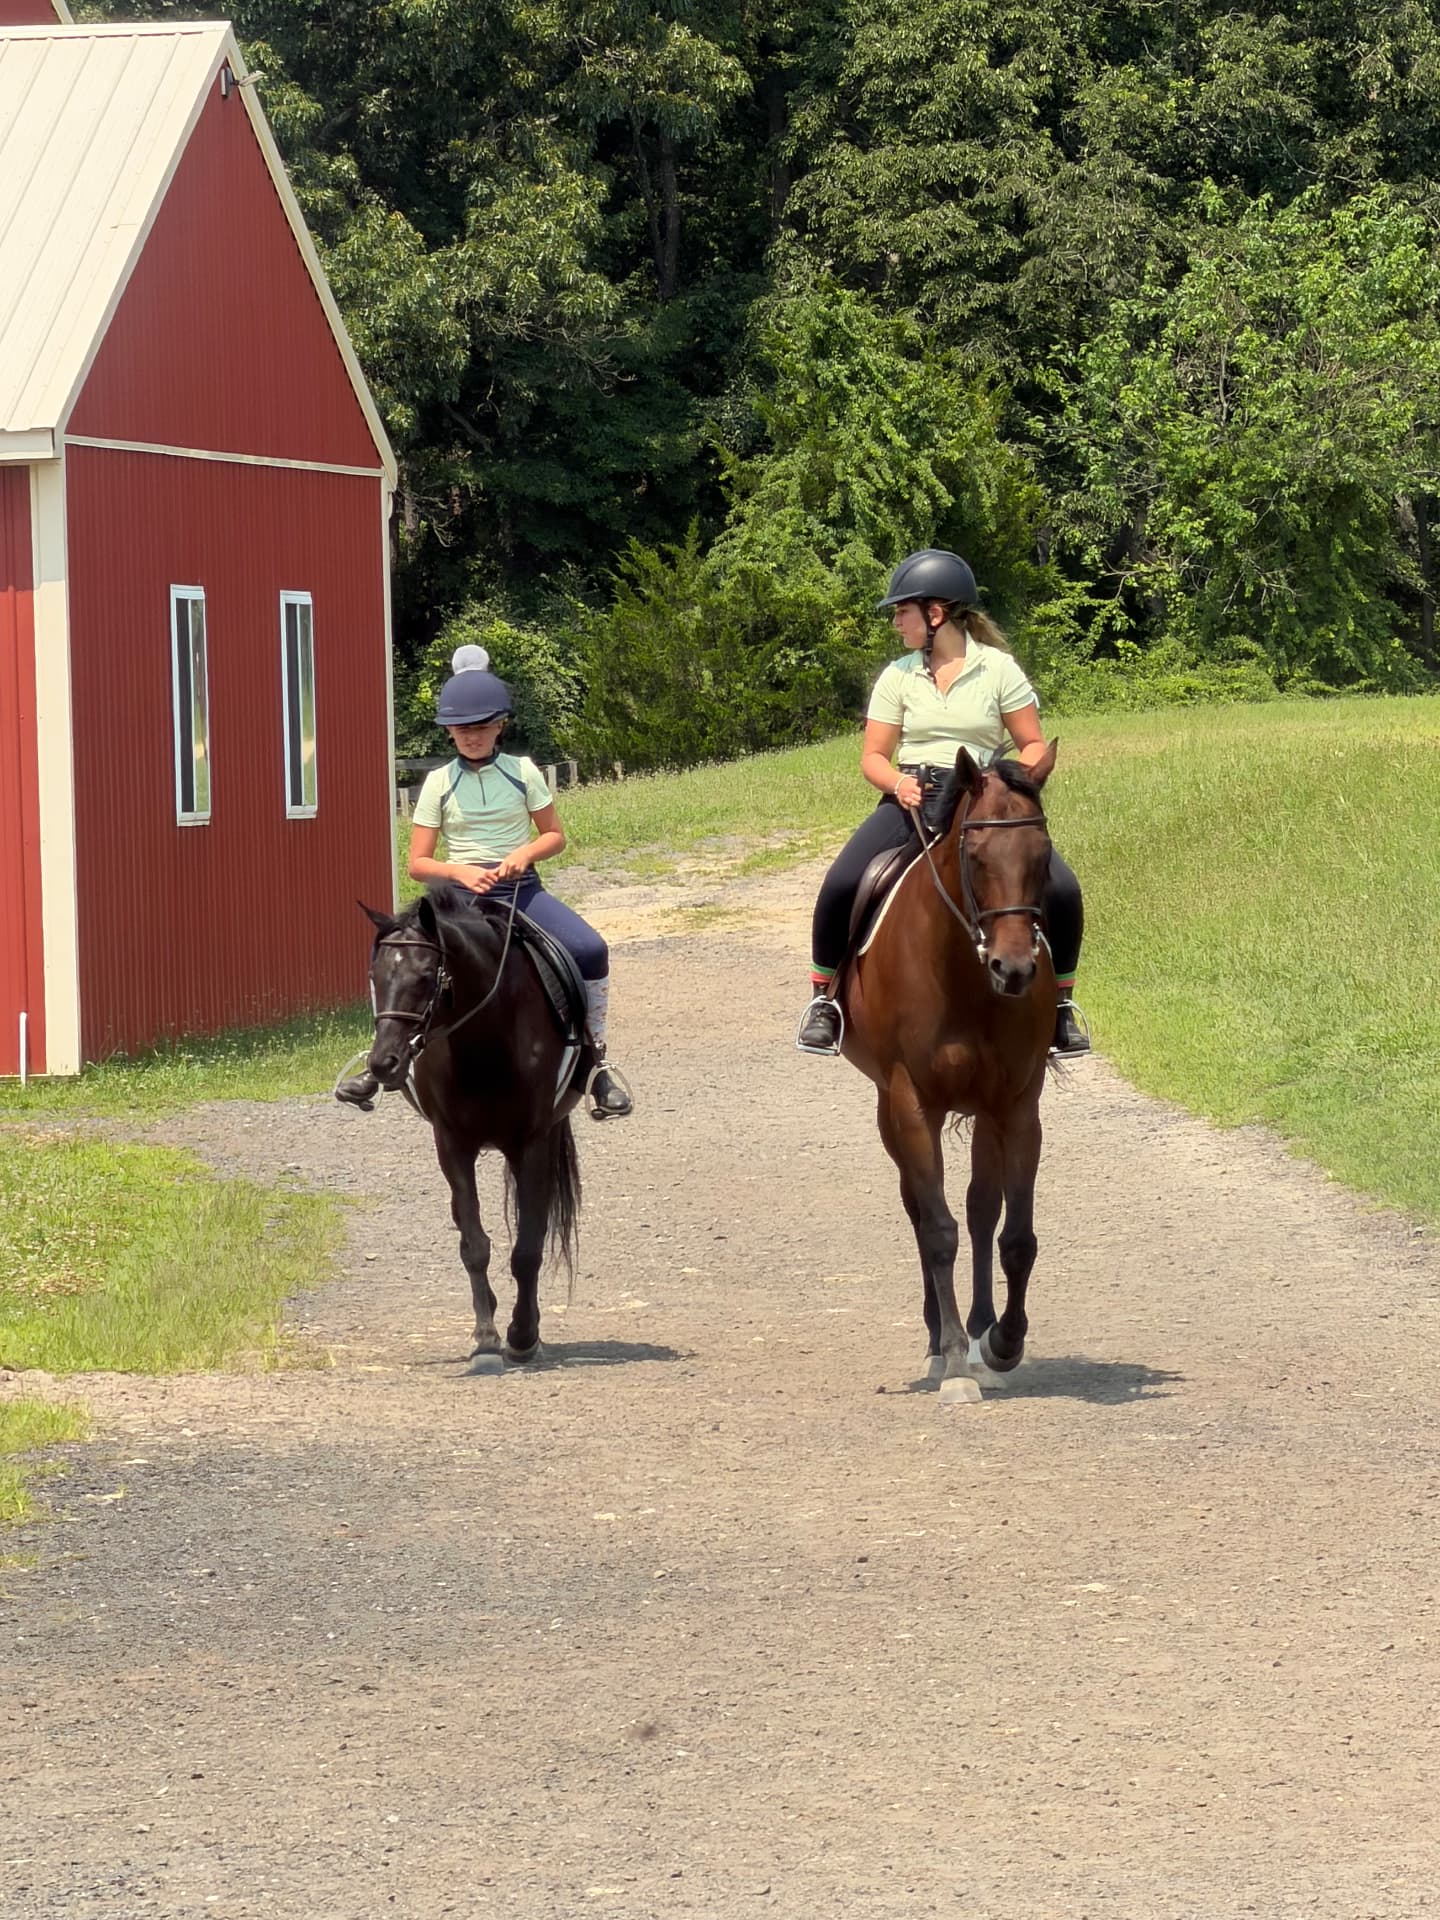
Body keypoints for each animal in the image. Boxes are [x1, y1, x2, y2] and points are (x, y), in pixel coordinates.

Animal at [358, 882, 586, 1371]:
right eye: (375, 976)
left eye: (427, 976)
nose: (384, 1063)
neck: (485, 1042)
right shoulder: (451, 1144)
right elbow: (474, 1243)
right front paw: (485, 1338)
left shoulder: (532, 1142)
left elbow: (528, 1247)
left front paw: (523, 1335)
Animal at [838, 743, 1058, 1395]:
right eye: (977, 855)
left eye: (1042, 854)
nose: (1014, 969)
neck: (963, 975)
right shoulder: (912, 1102)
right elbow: (936, 1229)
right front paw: (957, 1358)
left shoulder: (1017, 1104)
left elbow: (1016, 1235)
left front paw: (1004, 1342)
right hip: (890, 1108)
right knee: (919, 1207)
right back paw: (941, 1341)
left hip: (984, 1110)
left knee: (982, 1209)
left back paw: (985, 1330)